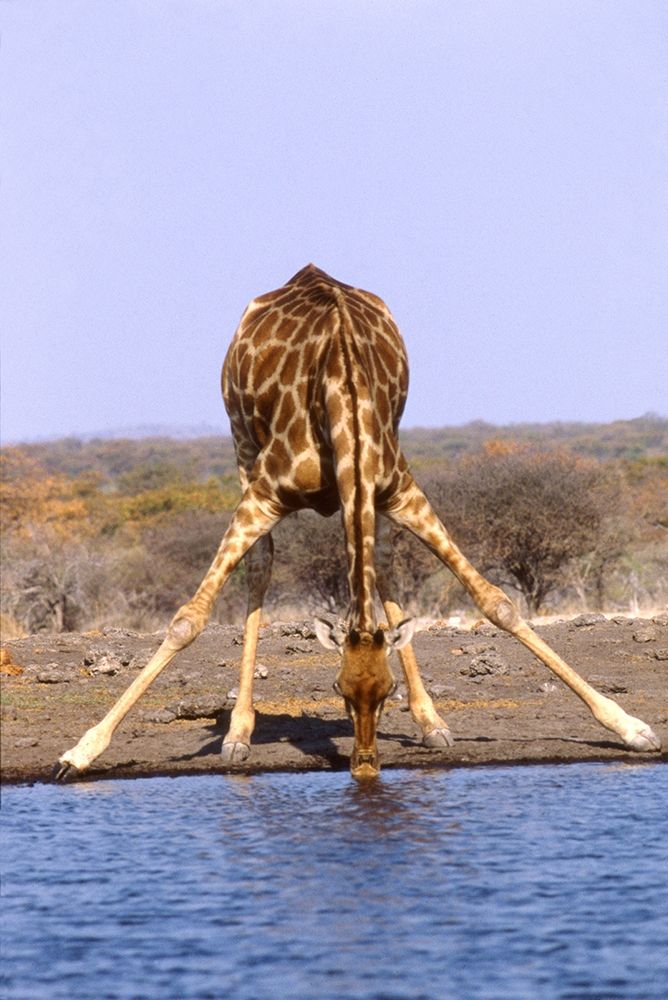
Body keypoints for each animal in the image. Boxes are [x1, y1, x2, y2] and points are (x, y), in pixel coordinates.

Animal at [54, 264, 661, 781]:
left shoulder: (402, 489)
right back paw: (239, 734)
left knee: (384, 563)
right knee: (261, 566)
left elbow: (497, 604)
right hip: (241, 446)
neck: (341, 394)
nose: (366, 768)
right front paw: (79, 752)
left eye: (385, 691)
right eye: (337, 689)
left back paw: (433, 723)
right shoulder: (262, 497)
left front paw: (631, 727)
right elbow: (187, 620)